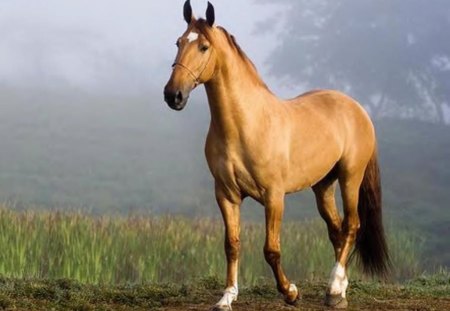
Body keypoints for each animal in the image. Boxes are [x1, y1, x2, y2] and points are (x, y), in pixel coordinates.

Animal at [163, 1, 388, 310]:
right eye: (178, 42)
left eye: (204, 47)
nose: (173, 95)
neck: (247, 125)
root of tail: (357, 108)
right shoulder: (226, 195)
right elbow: (231, 244)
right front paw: (227, 296)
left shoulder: (274, 196)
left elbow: (271, 249)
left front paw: (290, 292)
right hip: (323, 186)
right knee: (337, 230)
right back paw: (340, 289)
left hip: (350, 178)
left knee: (352, 225)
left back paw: (333, 290)